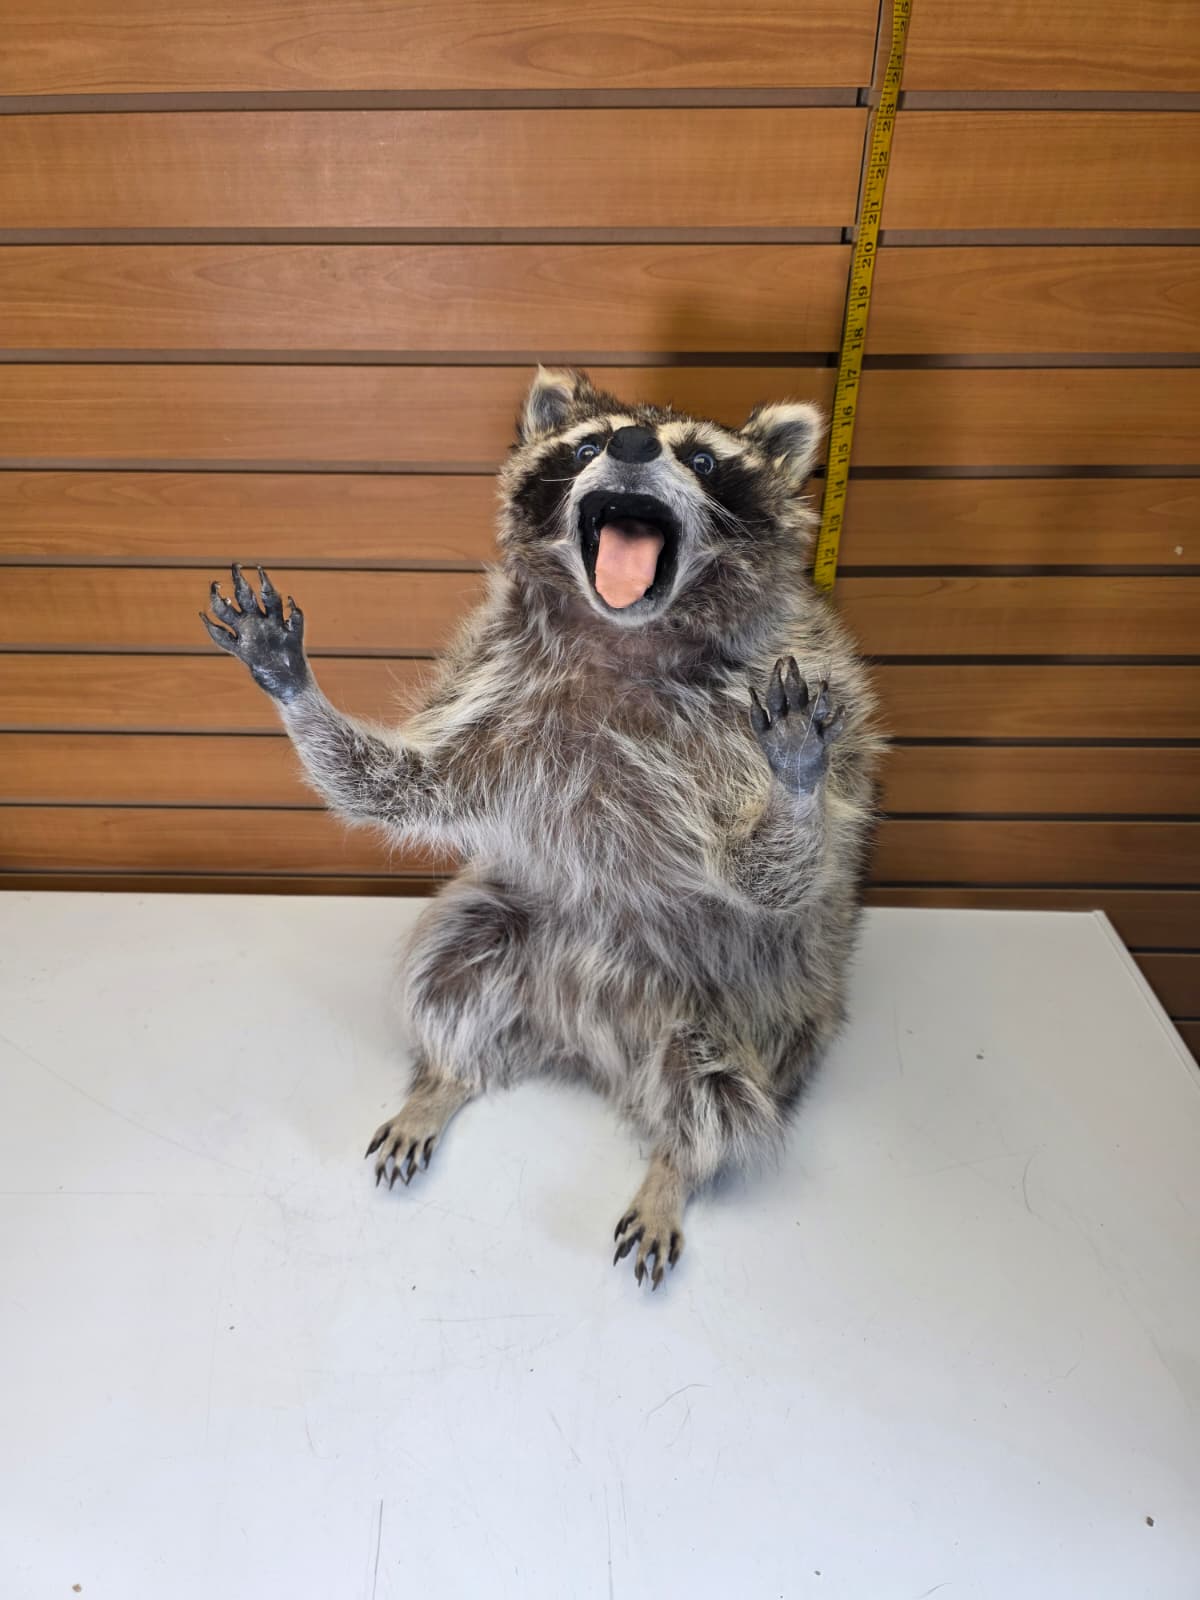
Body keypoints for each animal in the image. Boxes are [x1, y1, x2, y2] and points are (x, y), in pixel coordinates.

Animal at [201, 367, 883, 1289]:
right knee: (447, 966)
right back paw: (446, 1075)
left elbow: (773, 877)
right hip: (514, 928)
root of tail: (584, 1044)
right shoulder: (490, 687)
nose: (633, 443)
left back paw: (676, 1166)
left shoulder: (781, 693)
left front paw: (795, 790)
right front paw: (297, 689)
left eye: (702, 459)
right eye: (589, 443)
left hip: (744, 1007)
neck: (623, 639)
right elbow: (393, 790)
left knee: (725, 1090)